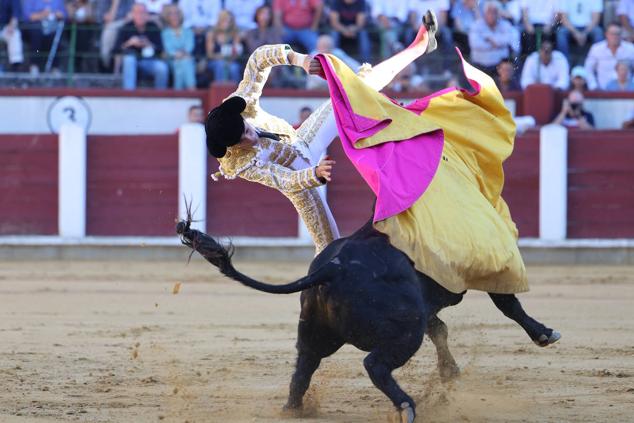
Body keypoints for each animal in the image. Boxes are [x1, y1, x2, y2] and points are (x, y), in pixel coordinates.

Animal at [175, 217, 556, 422]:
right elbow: (508, 304)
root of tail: (332, 268)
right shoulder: (489, 269)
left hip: (315, 333)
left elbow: (440, 330)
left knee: (302, 371)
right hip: (404, 332)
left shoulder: (428, 305)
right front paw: (544, 333)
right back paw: (406, 407)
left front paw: (449, 373)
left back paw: (293, 410)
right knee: (375, 365)